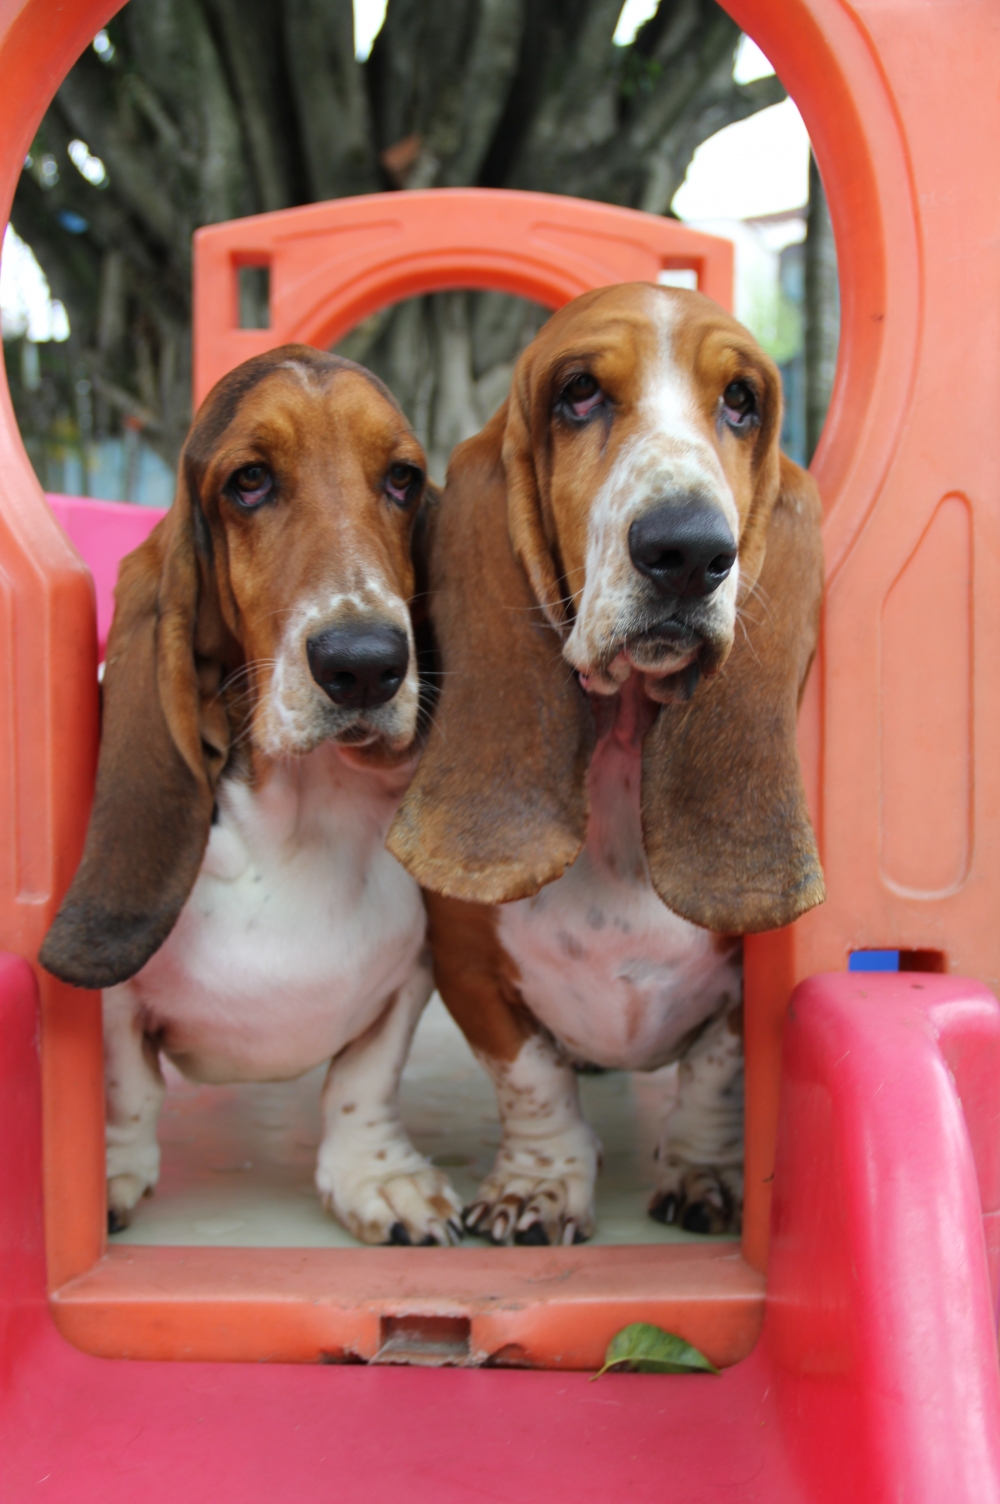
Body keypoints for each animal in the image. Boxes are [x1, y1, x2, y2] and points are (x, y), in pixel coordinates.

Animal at [37, 348, 460, 1245]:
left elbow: (363, 1082)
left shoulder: (409, 979)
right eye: (250, 481)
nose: (364, 663)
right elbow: (129, 1085)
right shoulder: (116, 1012)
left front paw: (379, 1178)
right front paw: (110, 1173)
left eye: (403, 478)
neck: (303, 815)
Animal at [384, 282, 824, 1245]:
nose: (689, 551)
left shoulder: (741, 999)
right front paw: (538, 1189)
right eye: (578, 392)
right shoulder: (468, 971)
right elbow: (532, 1079)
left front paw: (706, 1175)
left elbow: (714, 1074)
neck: (621, 749)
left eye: (742, 401)